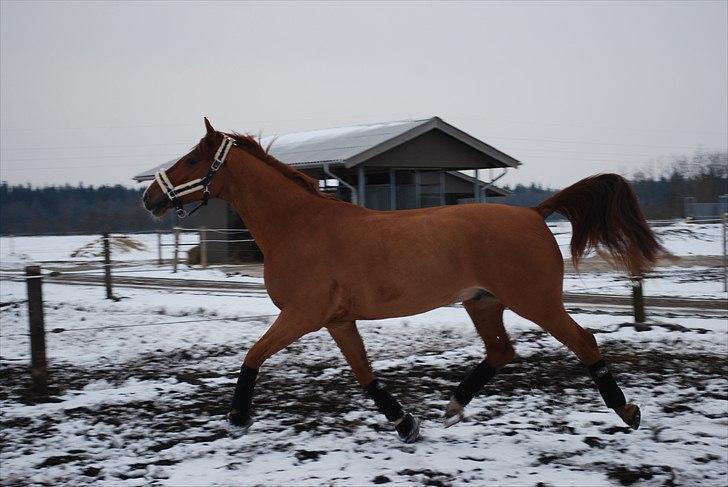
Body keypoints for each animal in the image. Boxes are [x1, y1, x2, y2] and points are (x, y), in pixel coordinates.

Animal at [142, 119, 660, 442]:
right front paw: (407, 424)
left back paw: (627, 412)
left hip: (536, 301)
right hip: (483, 301)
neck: (299, 226)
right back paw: (451, 408)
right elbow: (364, 374)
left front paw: (237, 418)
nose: (150, 197)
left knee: (584, 341)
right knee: (501, 351)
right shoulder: (336, 319)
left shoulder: (302, 314)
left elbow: (253, 355)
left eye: (192, 160)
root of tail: (535, 213)